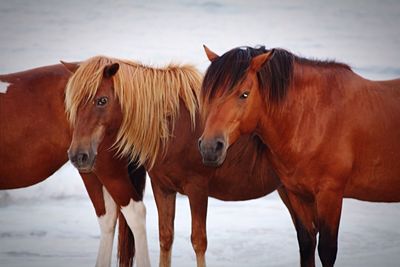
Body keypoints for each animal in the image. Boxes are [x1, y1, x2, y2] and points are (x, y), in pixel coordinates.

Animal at [64, 55, 298, 267]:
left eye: (102, 100)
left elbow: (199, 241)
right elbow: (165, 238)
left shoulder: (197, 189)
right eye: (74, 104)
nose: (78, 155)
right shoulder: (163, 188)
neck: (177, 125)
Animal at [199, 45, 400, 266]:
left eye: (244, 94)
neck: (314, 118)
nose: (210, 147)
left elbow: (327, 251)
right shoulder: (297, 194)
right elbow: (307, 243)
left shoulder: (330, 195)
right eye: (209, 94)